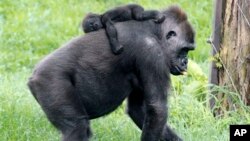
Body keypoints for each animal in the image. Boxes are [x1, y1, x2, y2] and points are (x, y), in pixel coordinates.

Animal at [27, 5, 195, 141]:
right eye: (184, 50)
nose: (185, 62)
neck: (154, 31)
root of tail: (33, 75)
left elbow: (139, 110)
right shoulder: (152, 52)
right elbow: (158, 109)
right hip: (48, 81)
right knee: (76, 128)